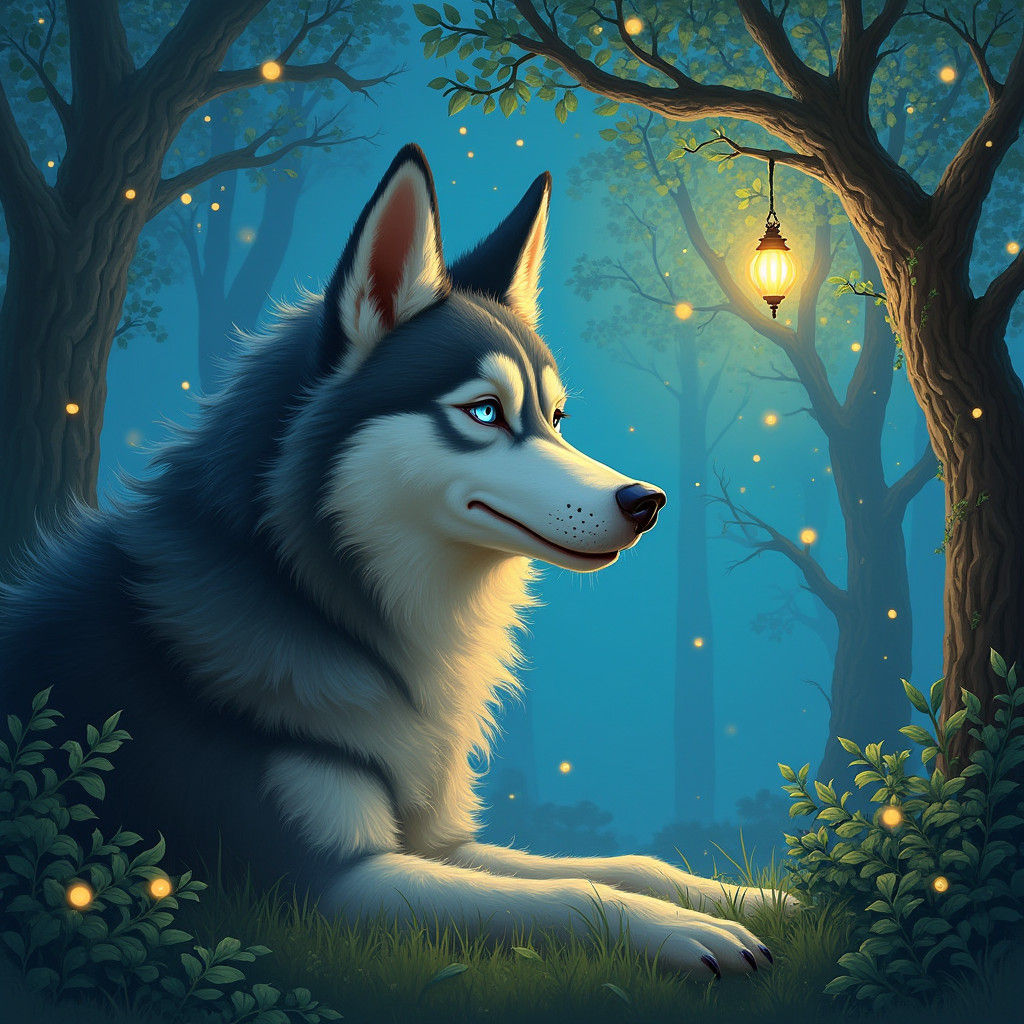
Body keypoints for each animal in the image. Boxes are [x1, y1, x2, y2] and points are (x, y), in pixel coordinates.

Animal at [0, 144, 784, 978]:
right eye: (484, 412)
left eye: (556, 416)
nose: (647, 501)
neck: (328, 609)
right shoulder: (321, 883)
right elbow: (574, 892)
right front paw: (686, 932)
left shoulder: (440, 840)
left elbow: (626, 864)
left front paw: (754, 898)